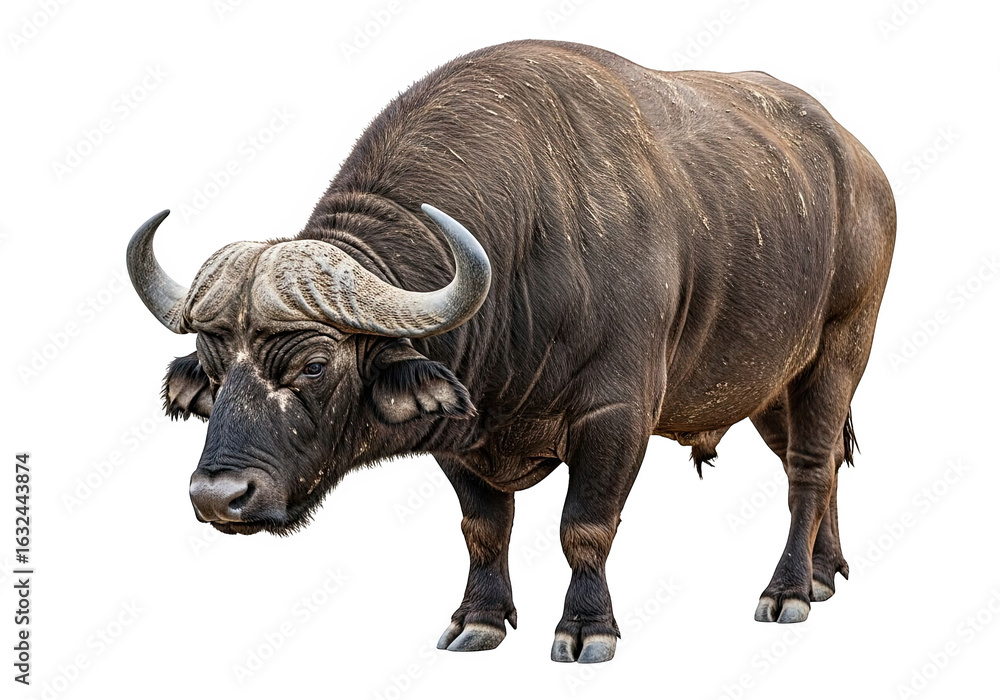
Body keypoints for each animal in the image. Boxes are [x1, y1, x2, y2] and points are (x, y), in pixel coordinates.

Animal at [127, 40, 895, 663]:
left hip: (838, 349)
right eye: (214, 369)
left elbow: (584, 526)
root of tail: (860, 164)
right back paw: (823, 573)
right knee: (819, 462)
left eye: (314, 365)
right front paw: (480, 618)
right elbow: (483, 527)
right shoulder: (461, 429)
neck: (526, 249)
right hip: (768, 382)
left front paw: (587, 629)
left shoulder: (616, 416)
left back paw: (788, 589)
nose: (218, 496)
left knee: (808, 467)